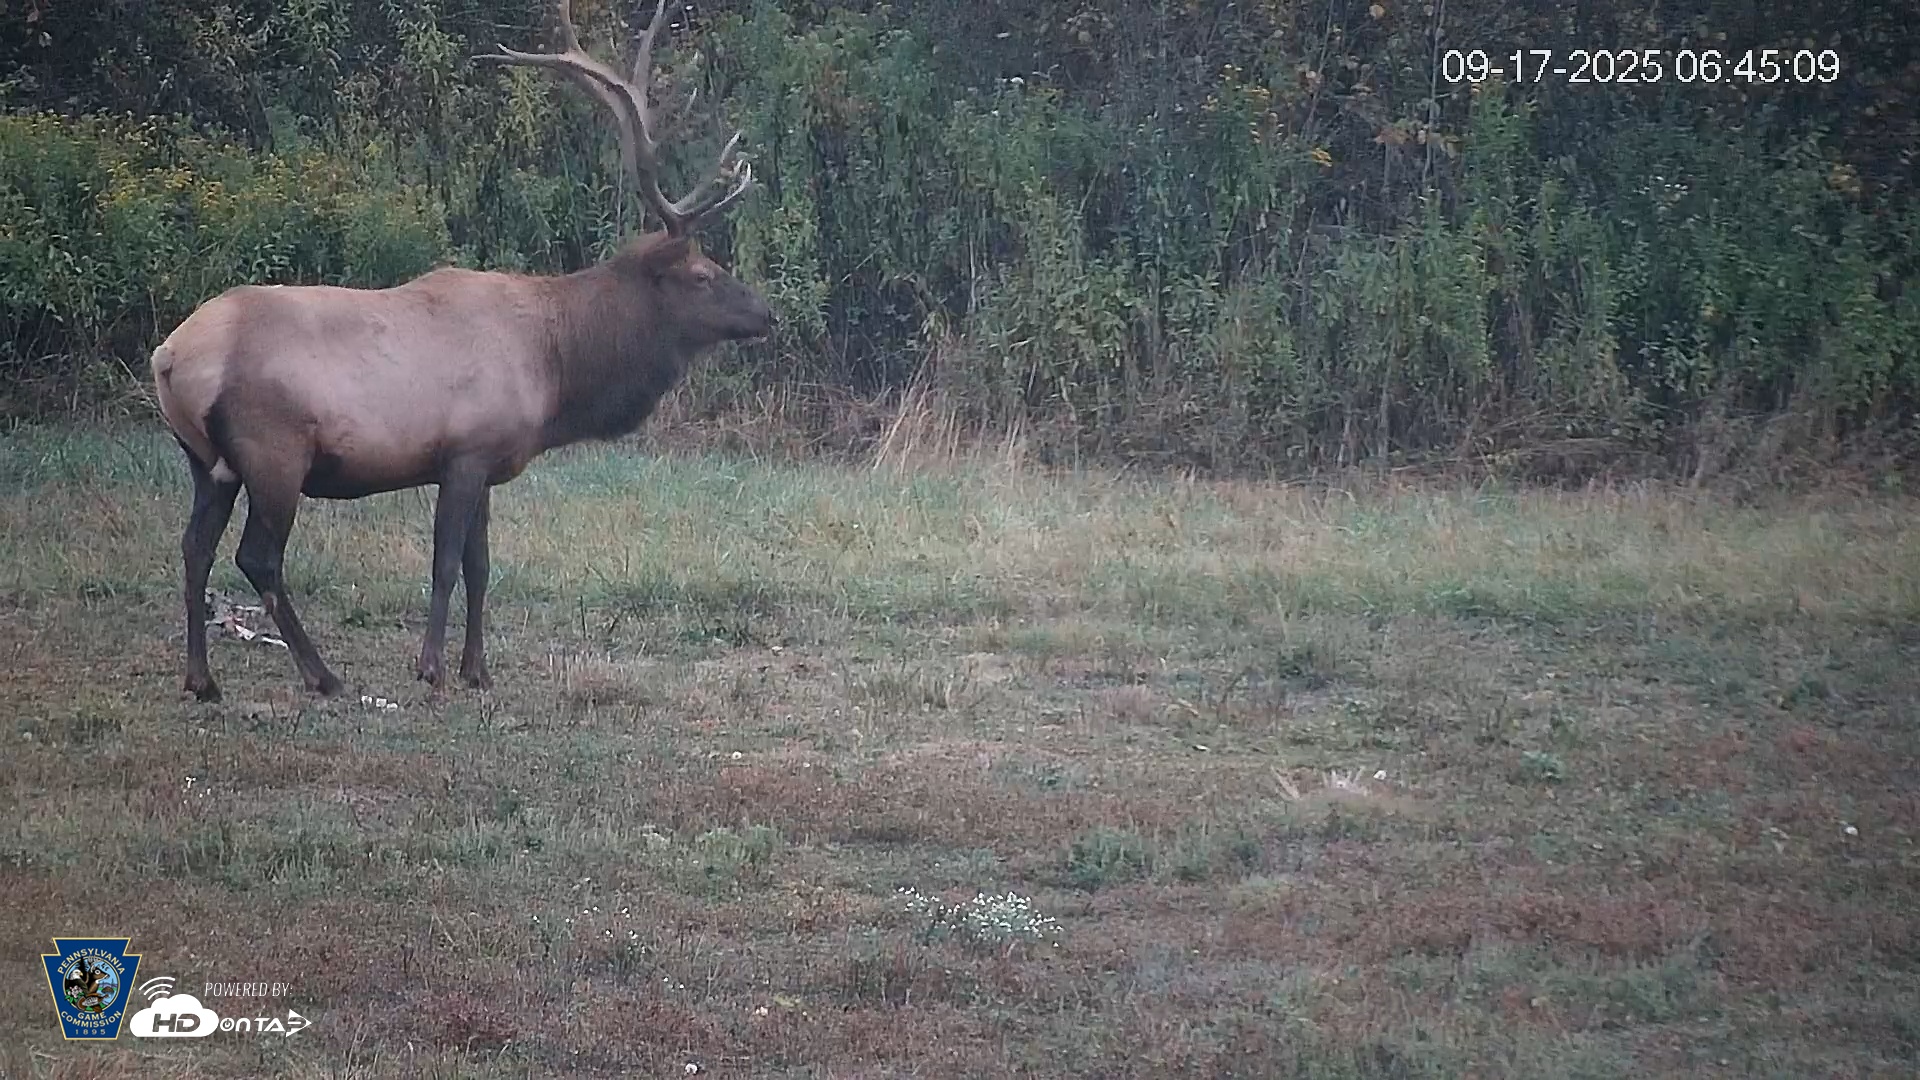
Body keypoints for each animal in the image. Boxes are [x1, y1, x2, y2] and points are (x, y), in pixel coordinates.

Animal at [149, 0, 771, 703]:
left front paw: (479, 669)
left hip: (208, 462)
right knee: (256, 556)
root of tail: (170, 357)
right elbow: (446, 563)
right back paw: (321, 674)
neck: (555, 368)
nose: (766, 314)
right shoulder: (464, 452)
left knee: (193, 547)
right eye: (700, 275)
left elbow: (481, 565)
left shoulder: (490, 459)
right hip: (273, 450)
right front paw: (432, 667)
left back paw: (201, 679)